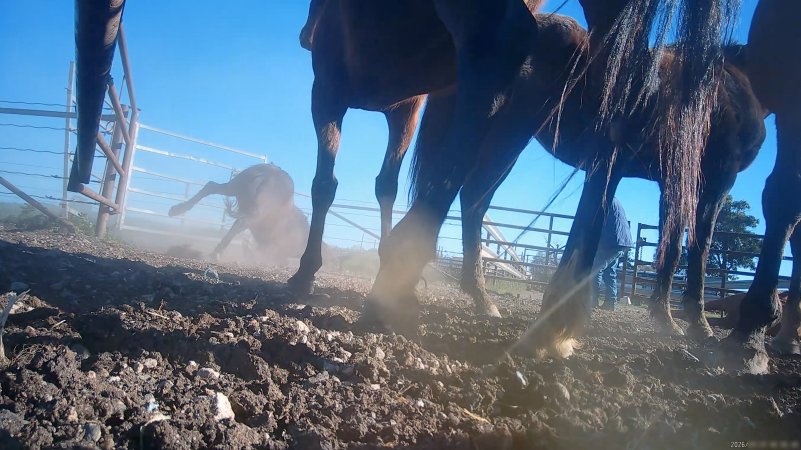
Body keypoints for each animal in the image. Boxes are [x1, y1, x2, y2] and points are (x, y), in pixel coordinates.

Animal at [168, 164, 309, 265]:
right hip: (252, 215)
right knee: (237, 227)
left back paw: (177, 209)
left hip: (233, 188)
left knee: (211, 186)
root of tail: (267, 177)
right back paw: (216, 254)